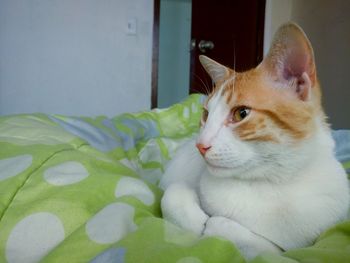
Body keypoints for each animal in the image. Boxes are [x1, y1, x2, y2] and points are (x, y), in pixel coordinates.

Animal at [160, 22, 348, 260]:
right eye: (205, 114)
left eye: (241, 113)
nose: (200, 146)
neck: (269, 182)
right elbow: (170, 194)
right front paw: (196, 219)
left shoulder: (304, 243)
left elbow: (266, 249)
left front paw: (218, 226)